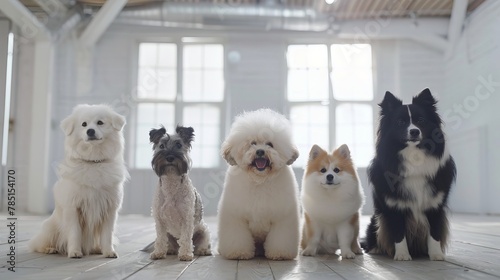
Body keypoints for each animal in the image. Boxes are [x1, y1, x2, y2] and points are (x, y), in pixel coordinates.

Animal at [27, 104, 130, 258]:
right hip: (50, 228)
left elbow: (107, 234)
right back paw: (50, 249)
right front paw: (74, 252)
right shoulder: (73, 207)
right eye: (84, 124)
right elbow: (75, 232)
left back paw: (97, 249)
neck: (93, 162)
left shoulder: (110, 208)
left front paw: (108, 251)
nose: (90, 131)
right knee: (37, 244)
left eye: (100, 122)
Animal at [148, 124, 211, 260]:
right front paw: (158, 252)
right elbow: (160, 238)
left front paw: (186, 254)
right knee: (169, 242)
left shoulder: (187, 218)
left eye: (178, 145)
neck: (171, 180)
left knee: (201, 243)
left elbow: (186, 238)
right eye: (162, 145)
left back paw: (203, 250)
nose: (170, 157)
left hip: (203, 230)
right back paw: (170, 249)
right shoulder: (159, 220)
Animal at [217, 107, 298, 260]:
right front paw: (238, 252)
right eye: (252, 143)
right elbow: (237, 237)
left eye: (270, 144)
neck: (260, 181)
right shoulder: (236, 218)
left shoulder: (282, 219)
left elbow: (281, 238)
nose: (260, 151)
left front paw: (279, 253)